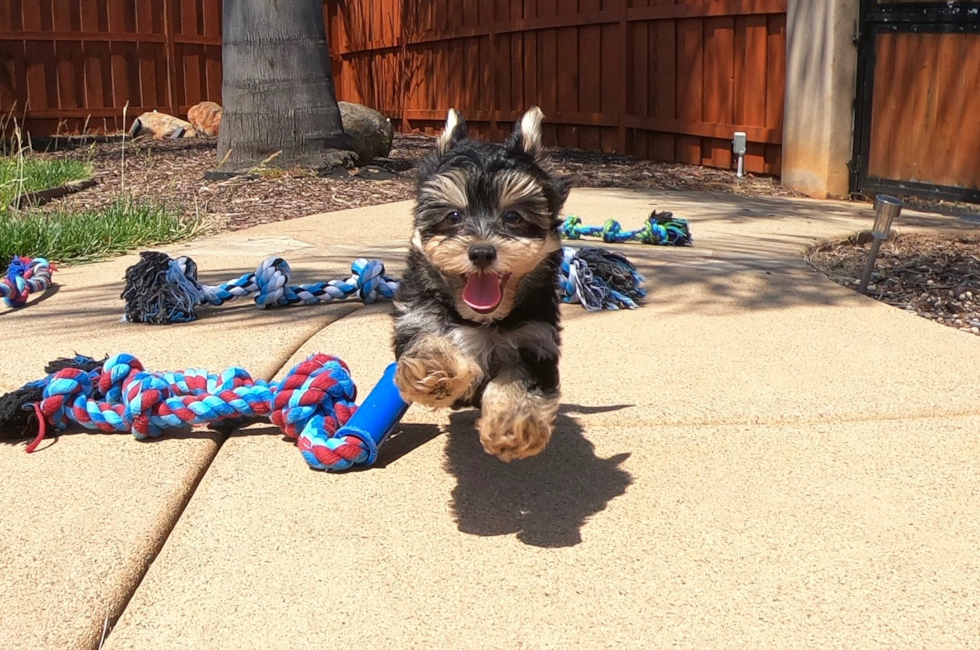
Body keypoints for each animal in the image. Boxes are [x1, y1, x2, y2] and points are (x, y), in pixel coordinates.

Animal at [394, 107, 572, 460]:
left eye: (513, 217)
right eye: (453, 216)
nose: (481, 252)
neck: (483, 320)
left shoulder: (535, 339)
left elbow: (518, 381)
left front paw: (511, 425)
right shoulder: (417, 315)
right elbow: (427, 340)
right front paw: (435, 369)